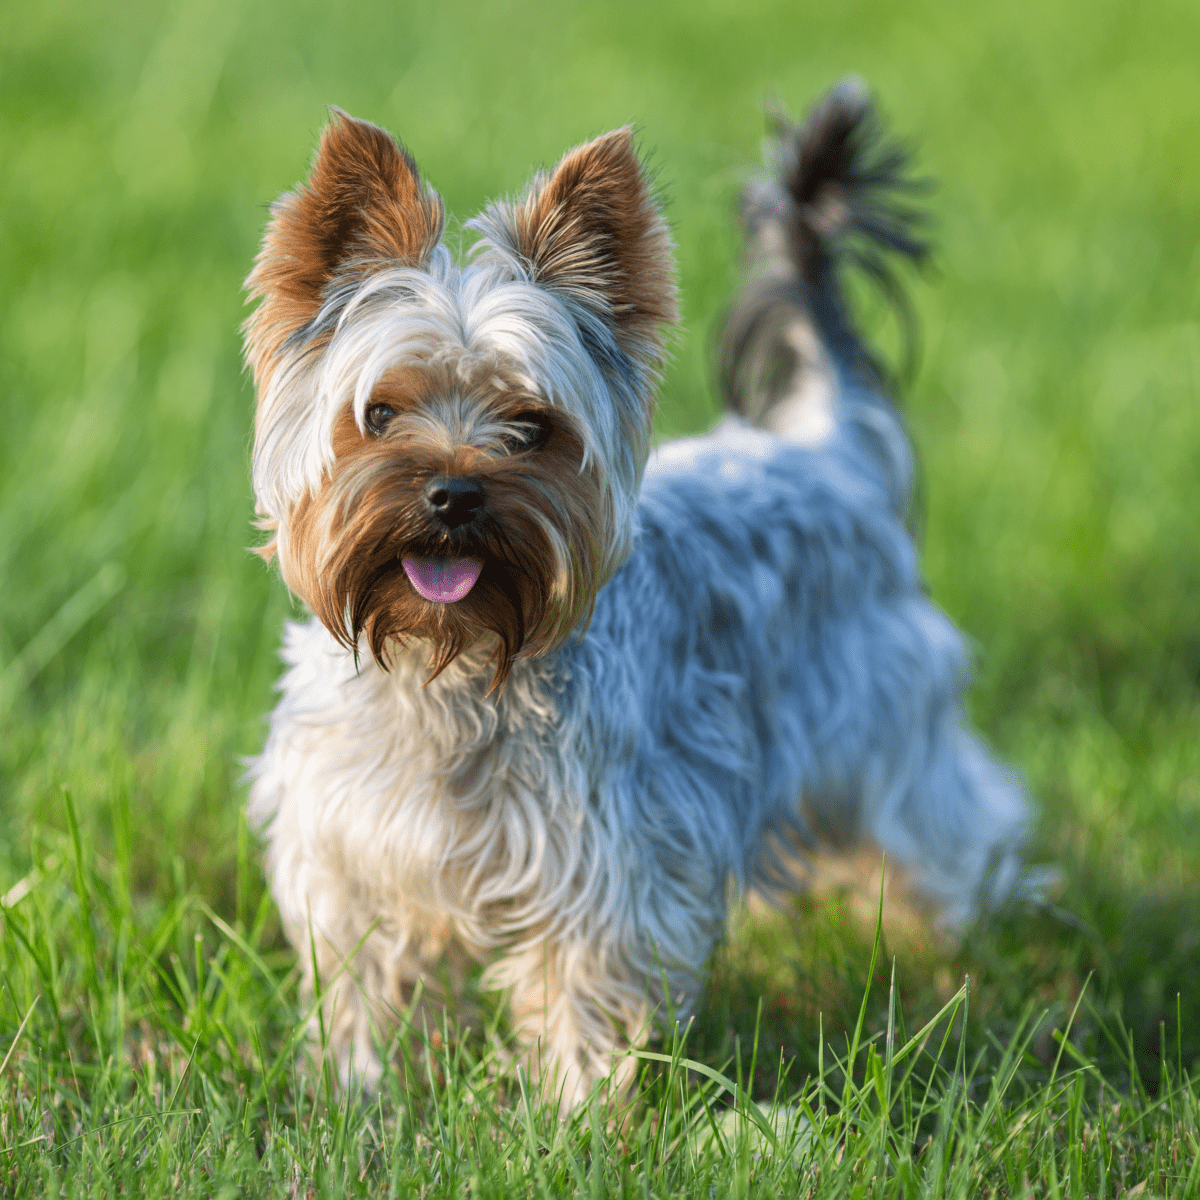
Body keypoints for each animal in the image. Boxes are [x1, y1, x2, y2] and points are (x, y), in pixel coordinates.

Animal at [241, 77, 1032, 1104]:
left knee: (948, 828)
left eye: (531, 425)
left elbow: (581, 983)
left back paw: (962, 945)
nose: (453, 493)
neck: (446, 660)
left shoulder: (602, 857)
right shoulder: (351, 848)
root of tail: (830, 454)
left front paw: (574, 1111)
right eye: (377, 412)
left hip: (888, 726)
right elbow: (367, 976)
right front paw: (360, 1090)